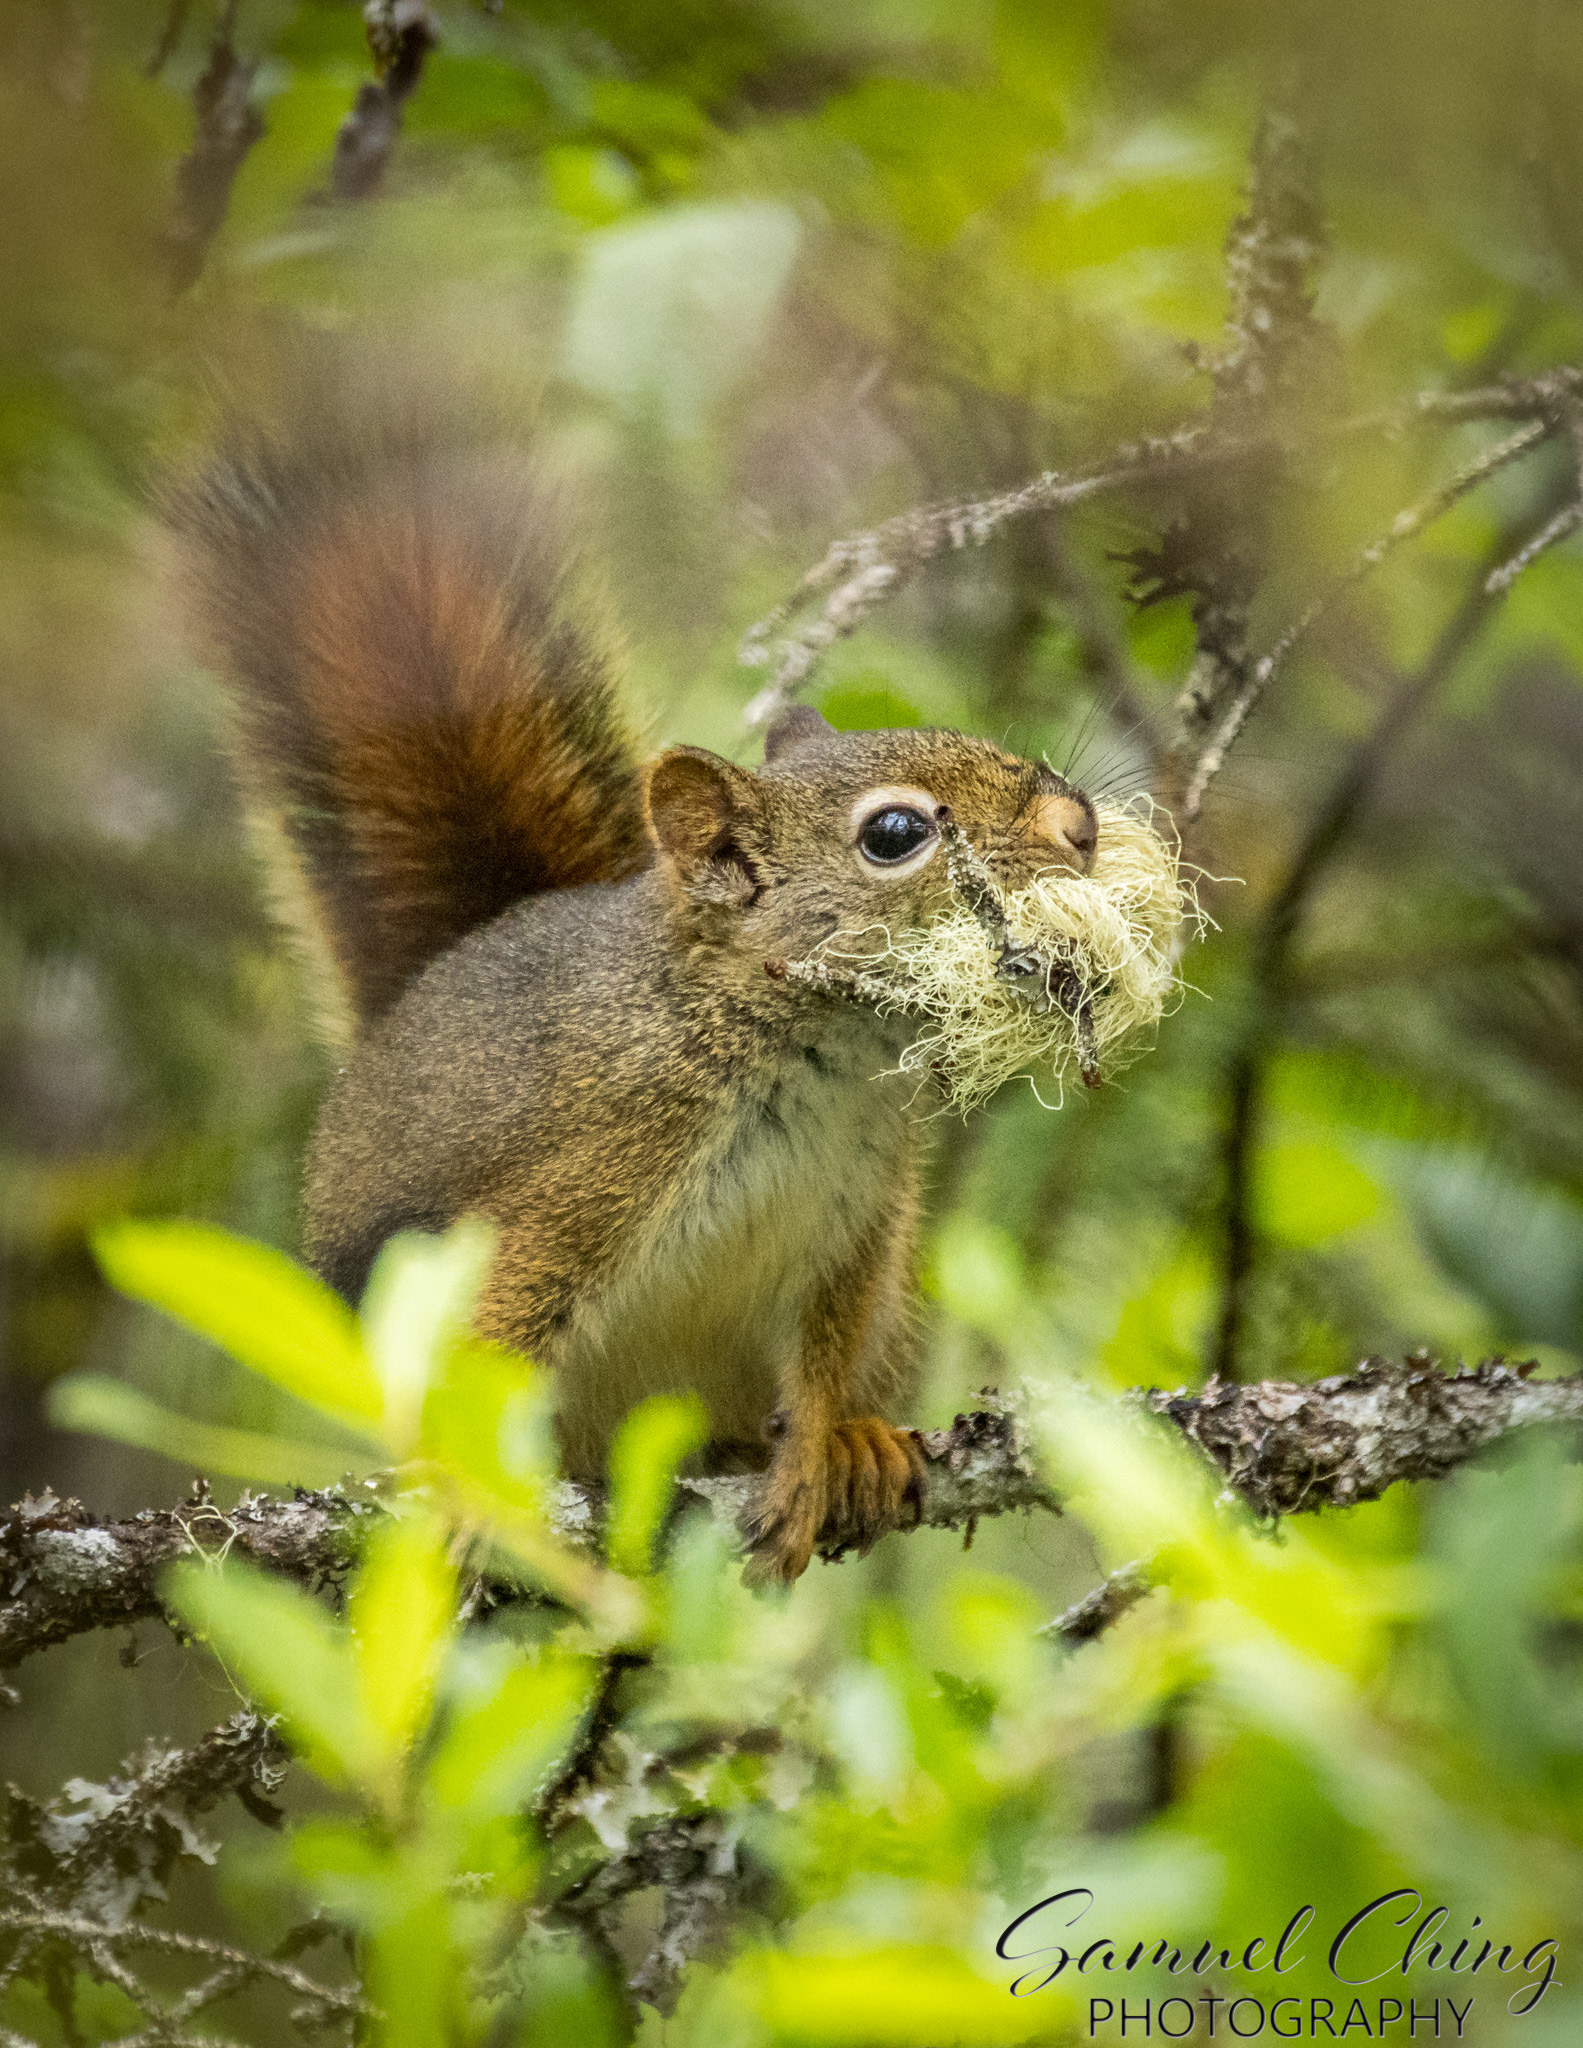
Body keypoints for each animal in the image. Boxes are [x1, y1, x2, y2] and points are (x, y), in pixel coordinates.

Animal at [169, 397, 1101, 1583]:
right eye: (894, 835)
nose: (1079, 822)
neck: (807, 1054)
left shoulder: (859, 1217)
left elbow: (822, 1350)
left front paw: (819, 1448)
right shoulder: (593, 1169)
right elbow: (505, 1323)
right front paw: (469, 1496)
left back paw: (845, 1440)